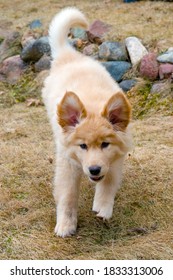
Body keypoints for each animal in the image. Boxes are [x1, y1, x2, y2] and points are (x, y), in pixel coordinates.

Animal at [42, 7, 132, 237]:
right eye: (82, 146)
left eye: (105, 144)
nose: (94, 170)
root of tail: (68, 54)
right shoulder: (67, 162)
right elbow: (67, 195)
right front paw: (65, 225)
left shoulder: (117, 156)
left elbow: (109, 181)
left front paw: (103, 207)